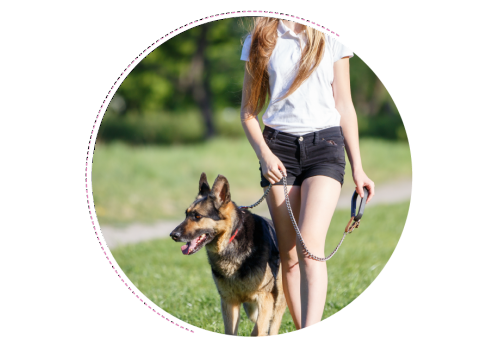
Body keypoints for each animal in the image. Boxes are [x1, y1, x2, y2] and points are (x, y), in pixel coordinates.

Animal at [171, 173, 286, 338]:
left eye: (197, 216)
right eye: (186, 214)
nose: (173, 235)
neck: (232, 239)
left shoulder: (265, 298)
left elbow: (257, 331)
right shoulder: (229, 302)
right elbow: (232, 332)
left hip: (277, 300)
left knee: (273, 325)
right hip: (250, 308)